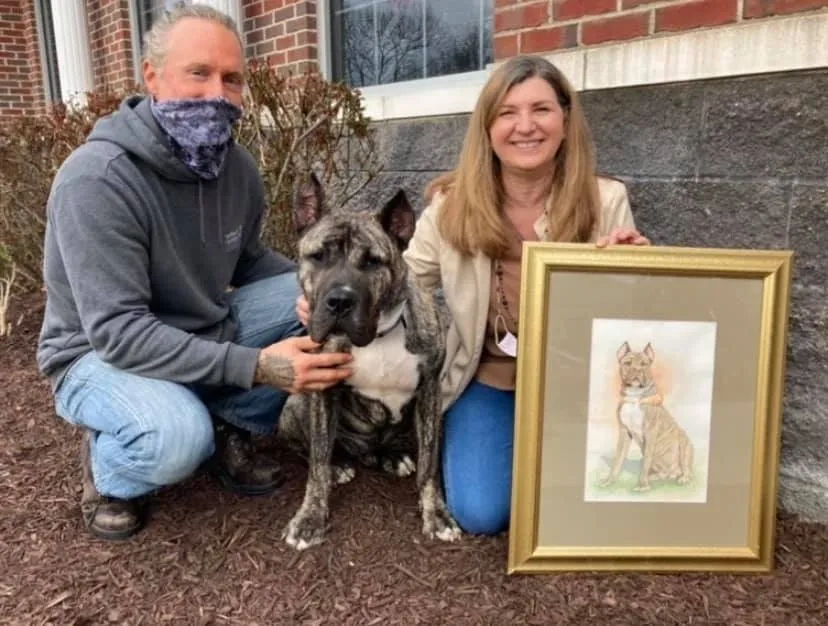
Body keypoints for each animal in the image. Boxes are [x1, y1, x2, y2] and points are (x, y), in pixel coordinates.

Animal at [277, 173, 461, 550]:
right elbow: (317, 461)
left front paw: (435, 513)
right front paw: (310, 517)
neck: (378, 334)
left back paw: (392, 456)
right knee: (312, 449)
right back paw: (340, 464)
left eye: (373, 262)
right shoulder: (321, 388)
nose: (340, 301)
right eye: (318, 256)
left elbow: (429, 464)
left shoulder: (430, 392)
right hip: (294, 405)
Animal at [600, 341, 694, 492]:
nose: (637, 370)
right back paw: (655, 477)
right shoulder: (624, 432)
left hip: (685, 445)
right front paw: (609, 481)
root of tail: (671, 474)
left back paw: (683, 478)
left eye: (644, 364)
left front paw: (642, 485)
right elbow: (618, 459)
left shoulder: (650, 433)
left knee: (686, 469)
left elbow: (646, 461)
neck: (634, 396)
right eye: (628, 363)